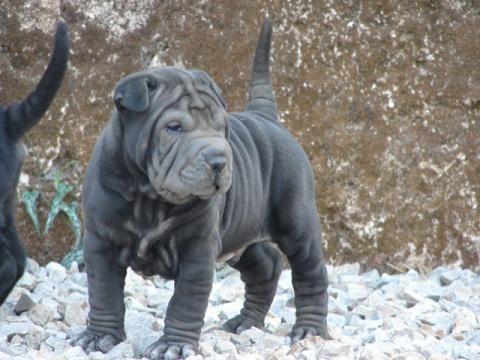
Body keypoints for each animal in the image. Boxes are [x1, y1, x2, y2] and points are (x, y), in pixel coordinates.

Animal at [74, 20, 330, 360]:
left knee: (310, 273)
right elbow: (103, 292)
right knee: (266, 266)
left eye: (221, 126)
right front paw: (100, 336)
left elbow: (186, 300)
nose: (219, 160)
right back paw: (245, 323)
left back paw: (310, 329)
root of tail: (266, 117)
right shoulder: (101, 241)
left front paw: (174, 344)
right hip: (241, 232)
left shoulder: (198, 246)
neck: (149, 196)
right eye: (173, 127)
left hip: (296, 220)